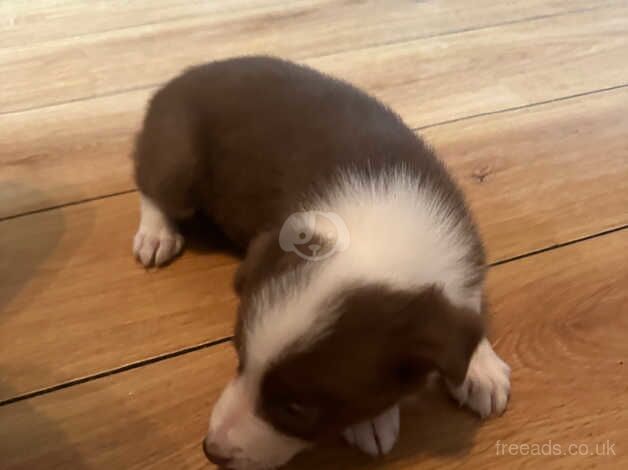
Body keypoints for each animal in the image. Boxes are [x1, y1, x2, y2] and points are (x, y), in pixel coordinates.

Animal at [132, 56, 510, 470]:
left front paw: (480, 369)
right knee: (152, 185)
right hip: (178, 156)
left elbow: (464, 316)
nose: (211, 451)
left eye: (298, 408)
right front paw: (372, 422)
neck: (382, 229)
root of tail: (183, 75)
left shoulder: (464, 247)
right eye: (239, 358)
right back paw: (156, 233)